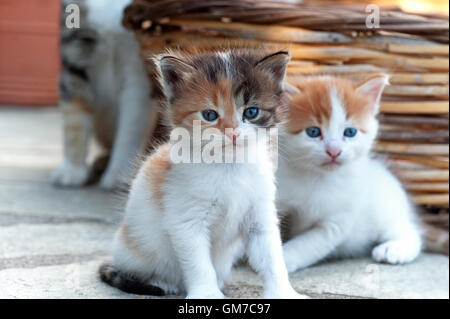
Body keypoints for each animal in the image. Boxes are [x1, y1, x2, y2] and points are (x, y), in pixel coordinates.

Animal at [52, 0, 160, 190]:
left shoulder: (139, 72)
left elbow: (131, 128)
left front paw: (120, 174)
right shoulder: (75, 55)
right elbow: (74, 120)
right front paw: (72, 169)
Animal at [98, 50, 302, 300]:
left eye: (251, 112)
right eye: (209, 115)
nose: (232, 132)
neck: (228, 166)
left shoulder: (260, 216)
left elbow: (272, 258)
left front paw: (284, 293)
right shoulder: (187, 220)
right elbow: (199, 263)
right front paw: (207, 294)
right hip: (136, 251)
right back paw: (161, 282)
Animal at [278, 75, 422, 272]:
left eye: (350, 132)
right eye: (313, 132)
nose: (334, 151)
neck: (316, 177)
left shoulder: (335, 223)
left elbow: (307, 244)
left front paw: (283, 259)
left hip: (387, 214)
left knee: (411, 232)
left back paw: (393, 249)